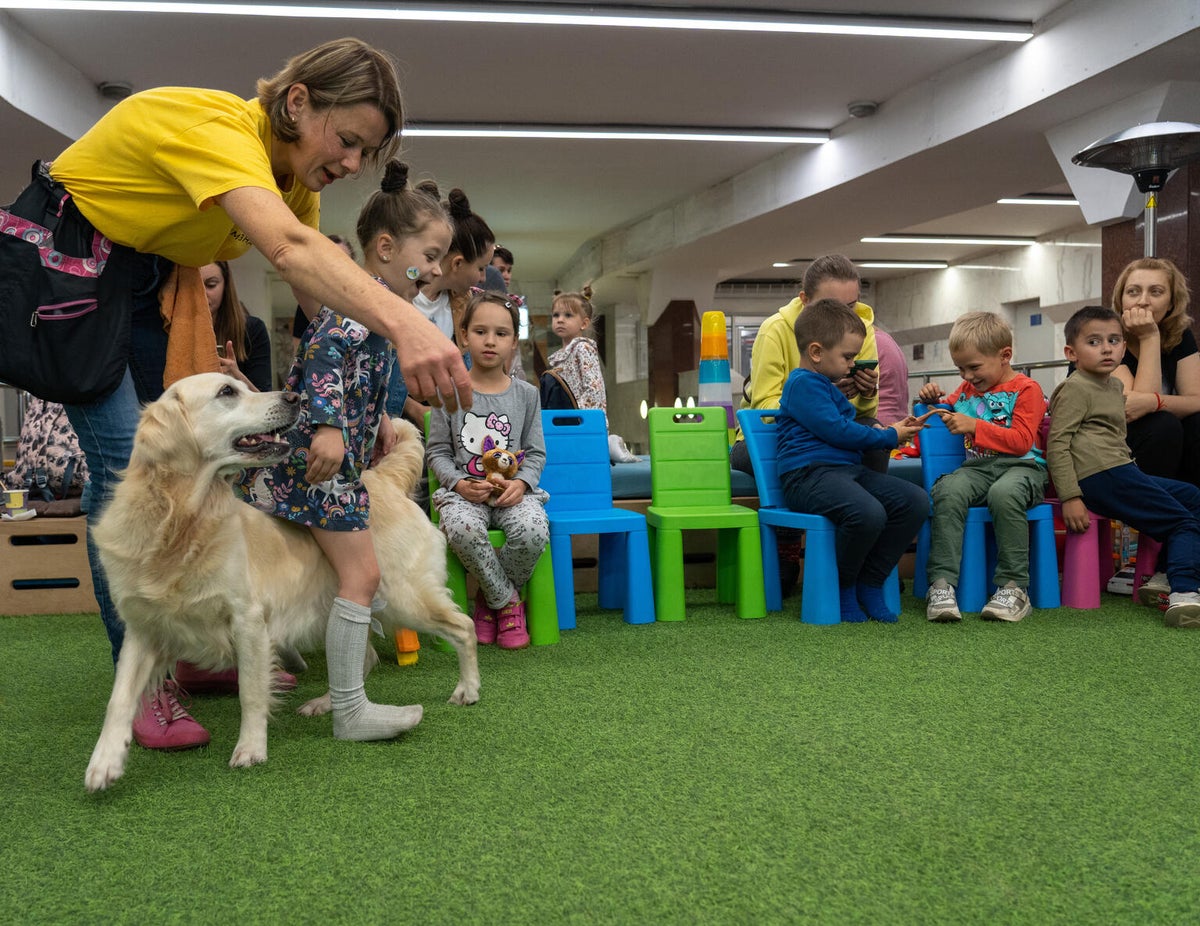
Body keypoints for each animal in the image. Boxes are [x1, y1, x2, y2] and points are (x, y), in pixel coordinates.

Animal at [85, 371, 477, 791]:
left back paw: (467, 690)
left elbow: (250, 692)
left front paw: (250, 748)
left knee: (463, 626)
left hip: (405, 596)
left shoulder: (248, 621)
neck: (181, 519)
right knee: (367, 655)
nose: (295, 398)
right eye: (227, 392)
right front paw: (104, 762)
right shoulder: (144, 628)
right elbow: (119, 698)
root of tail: (381, 477)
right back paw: (326, 704)